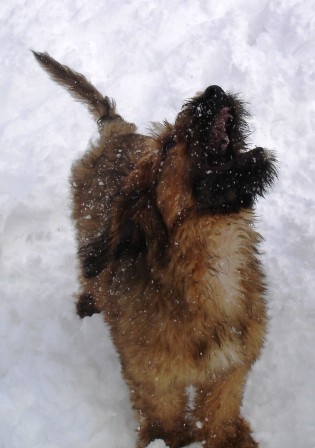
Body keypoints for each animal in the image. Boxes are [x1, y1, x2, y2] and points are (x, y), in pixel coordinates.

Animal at [33, 50, 278, 446]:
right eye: (166, 145)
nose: (213, 91)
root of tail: (117, 132)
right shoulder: (154, 377)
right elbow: (165, 417)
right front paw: (171, 440)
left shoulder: (230, 367)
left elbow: (220, 409)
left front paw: (229, 439)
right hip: (85, 231)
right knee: (89, 269)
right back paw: (88, 302)